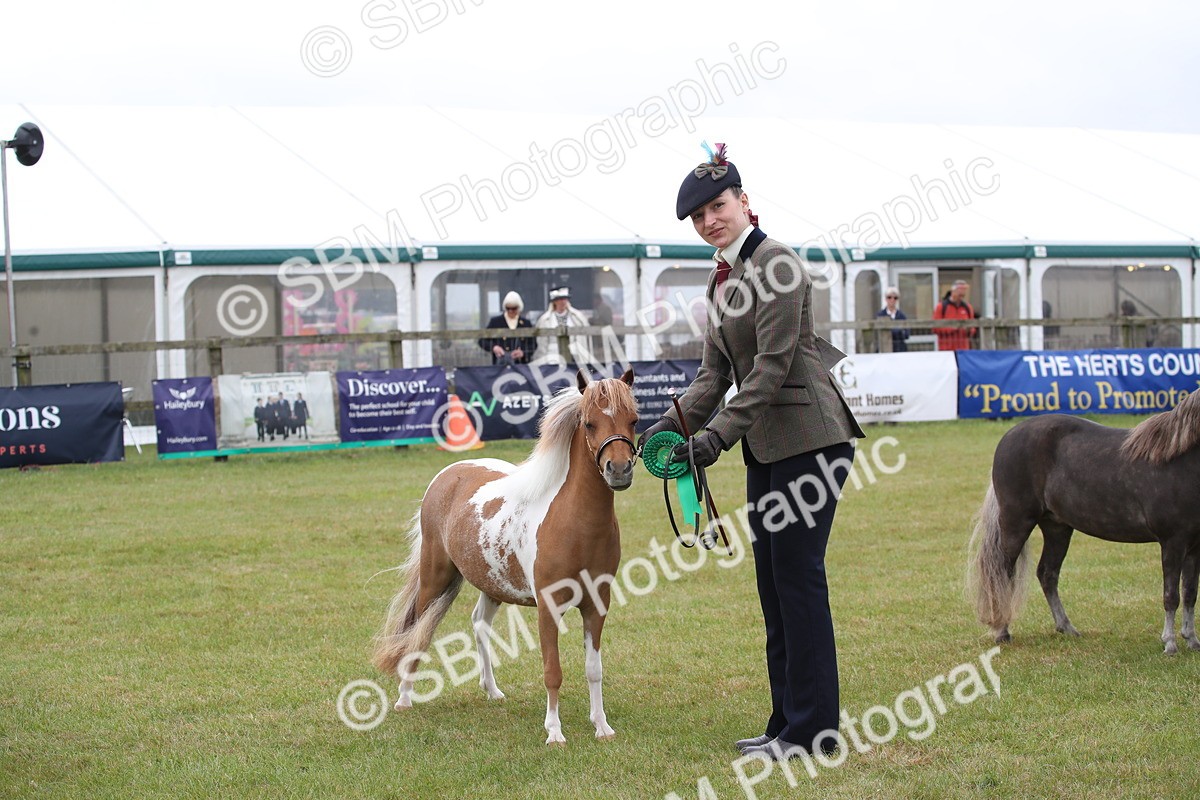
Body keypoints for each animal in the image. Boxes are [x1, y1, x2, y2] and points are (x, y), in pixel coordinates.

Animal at [372, 368, 639, 744]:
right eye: (589, 423)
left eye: (633, 419)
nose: (619, 469)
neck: (574, 523)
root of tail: (448, 474)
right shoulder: (548, 609)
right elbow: (552, 671)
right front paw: (554, 732)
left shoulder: (596, 605)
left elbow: (593, 669)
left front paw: (601, 726)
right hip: (434, 576)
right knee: (418, 630)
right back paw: (405, 698)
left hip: (491, 585)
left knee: (479, 624)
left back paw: (492, 690)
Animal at [969, 388, 1200, 654]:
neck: (1179, 462)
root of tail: (1009, 436)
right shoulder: (1172, 542)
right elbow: (1171, 595)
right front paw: (1170, 643)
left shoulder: (1194, 547)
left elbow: (1190, 593)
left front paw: (1192, 640)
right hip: (1016, 523)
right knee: (1001, 573)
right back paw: (1001, 631)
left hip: (1057, 528)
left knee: (1047, 573)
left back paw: (1066, 627)